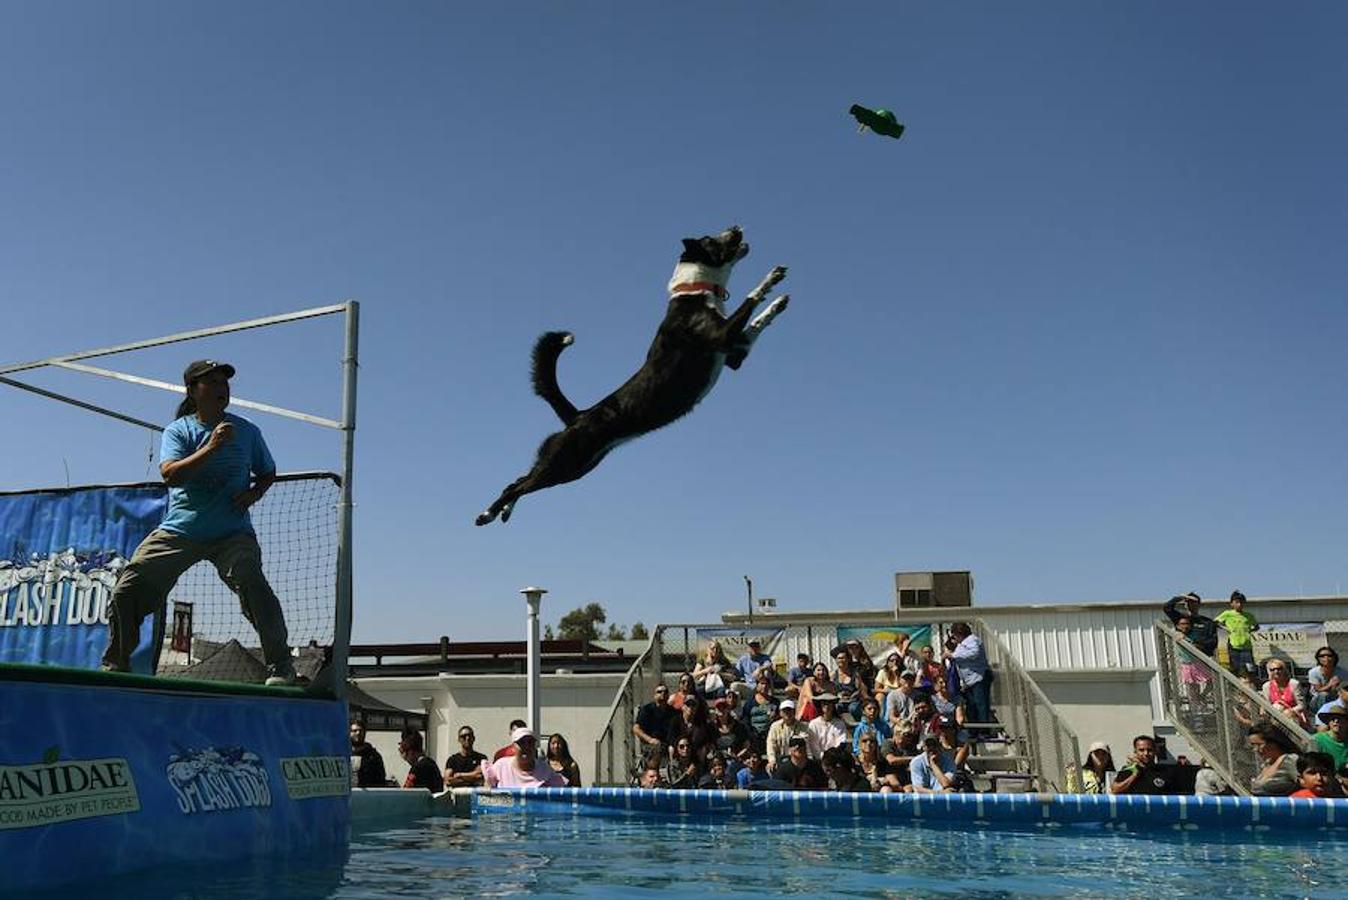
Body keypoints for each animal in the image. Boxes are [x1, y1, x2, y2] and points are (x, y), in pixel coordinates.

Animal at [477, 223, 787, 528]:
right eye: (710, 239)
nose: (736, 226)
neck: (695, 291)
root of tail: (578, 416)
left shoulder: (735, 353)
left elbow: (758, 322)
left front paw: (779, 303)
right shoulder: (721, 335)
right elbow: (749, 301)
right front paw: (770, 280)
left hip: (575, 468)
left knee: (519, 482)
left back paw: (503, 511)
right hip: (563, 460)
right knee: (518, 485)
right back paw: (487, 514)